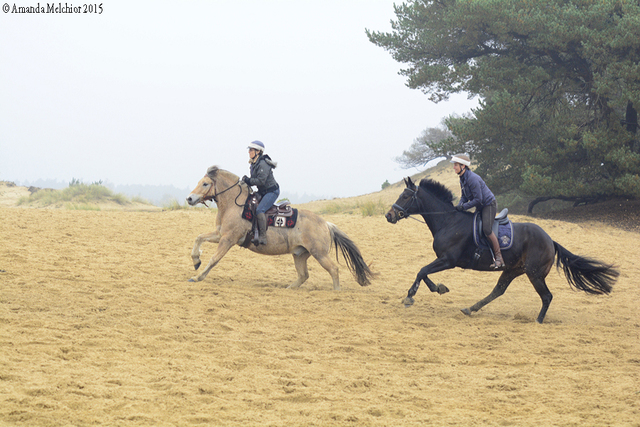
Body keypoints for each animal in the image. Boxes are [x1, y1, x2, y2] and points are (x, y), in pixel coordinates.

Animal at [185, 166, 376, 290]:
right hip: (300, 254)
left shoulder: (228, 239)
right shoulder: (220, 234)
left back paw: (336, 292)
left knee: (333, 269)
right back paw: (290, 288)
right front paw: (196, 261)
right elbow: (198, 237)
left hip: (319, 253)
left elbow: (214, 259)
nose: (189, 198)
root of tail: (325, 224)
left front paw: (197, 276)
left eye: (205, 184)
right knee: (303, 275)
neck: (236, 205)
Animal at [388, 178, 616, 324]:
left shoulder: (448, 260)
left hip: (534, 273)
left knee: (547, 296)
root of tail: (551, 241)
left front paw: (410, 296)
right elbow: (424, 273)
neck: (448, 221)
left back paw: (538, 320)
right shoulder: (444, 260)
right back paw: (470, 308)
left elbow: (422, 271)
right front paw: (439, 288)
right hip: (512, 270)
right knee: (498, 290)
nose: (389, 215)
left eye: (406, 195)